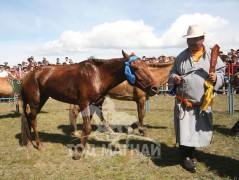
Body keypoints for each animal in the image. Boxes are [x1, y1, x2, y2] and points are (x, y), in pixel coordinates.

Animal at [21, 50, 158, 159]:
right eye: (135, 68)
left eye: (146, 66)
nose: (155, 88)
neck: (97, 75)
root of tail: (27, 76)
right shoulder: (84, 103)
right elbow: (87, 128)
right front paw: (78, 152)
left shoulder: (93, 105)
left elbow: (88, 128)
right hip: (34, 101)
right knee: (33, 119)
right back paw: (39, 145)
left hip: (42, 99)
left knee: (28, 118)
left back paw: (29, 142)